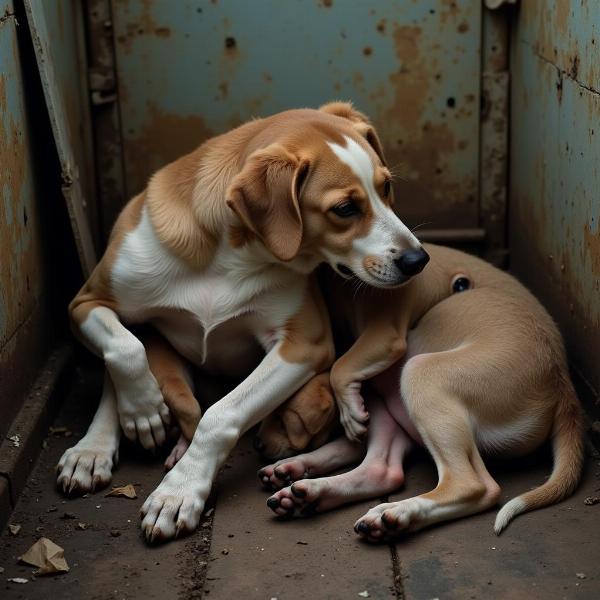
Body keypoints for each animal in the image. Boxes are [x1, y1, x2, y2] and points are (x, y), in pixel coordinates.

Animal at [54, 101, 424, 540]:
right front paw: (143, 408)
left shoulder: (304, 345)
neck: (228, 256)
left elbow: (220, 414)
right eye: (345, 209)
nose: (418, 259)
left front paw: (179, 490)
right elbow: (125, 347)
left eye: (386, 187)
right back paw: (93, 448)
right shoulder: (85, 302)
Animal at [260, 244, 584, 540]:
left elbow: (343, 369)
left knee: (475, 486)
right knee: (383, 469)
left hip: (421, 373)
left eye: (289, 421)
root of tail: (563, 386)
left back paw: (398, 512)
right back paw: (310, 489)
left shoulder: (384, 334)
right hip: (397, 400)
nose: (258, 446)